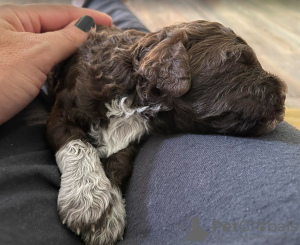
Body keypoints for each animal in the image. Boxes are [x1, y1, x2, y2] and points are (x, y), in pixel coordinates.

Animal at [45, 20, 288, 244]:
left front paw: (109, 213)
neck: (136, 100)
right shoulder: (63, 112)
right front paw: (87, 200)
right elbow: (78, 146)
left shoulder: (131, 141)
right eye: (239, 60)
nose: (284, 94)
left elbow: (118, 164)